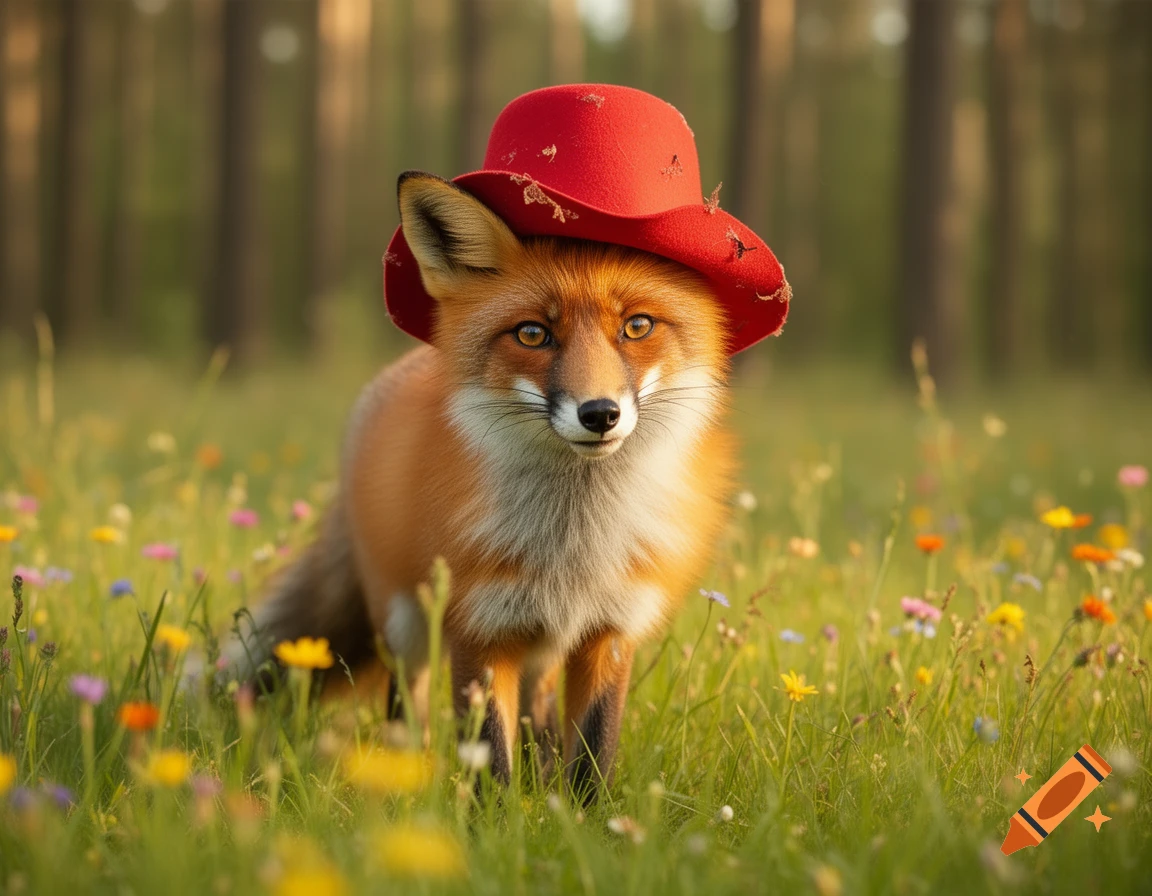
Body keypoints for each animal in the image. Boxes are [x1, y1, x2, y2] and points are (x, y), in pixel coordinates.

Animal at [223, 171, 737, 799]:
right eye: (533, 334)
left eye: (636, 326)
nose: (600, 414)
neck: (573, 545)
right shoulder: (478, 628)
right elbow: (490, 757)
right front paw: (494, 819)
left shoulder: (609, 632)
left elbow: (593, 754)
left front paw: (583, 818)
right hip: (406, 622)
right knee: (408, 706)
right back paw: (407, 776)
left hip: (540, 647)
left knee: (539, 718)